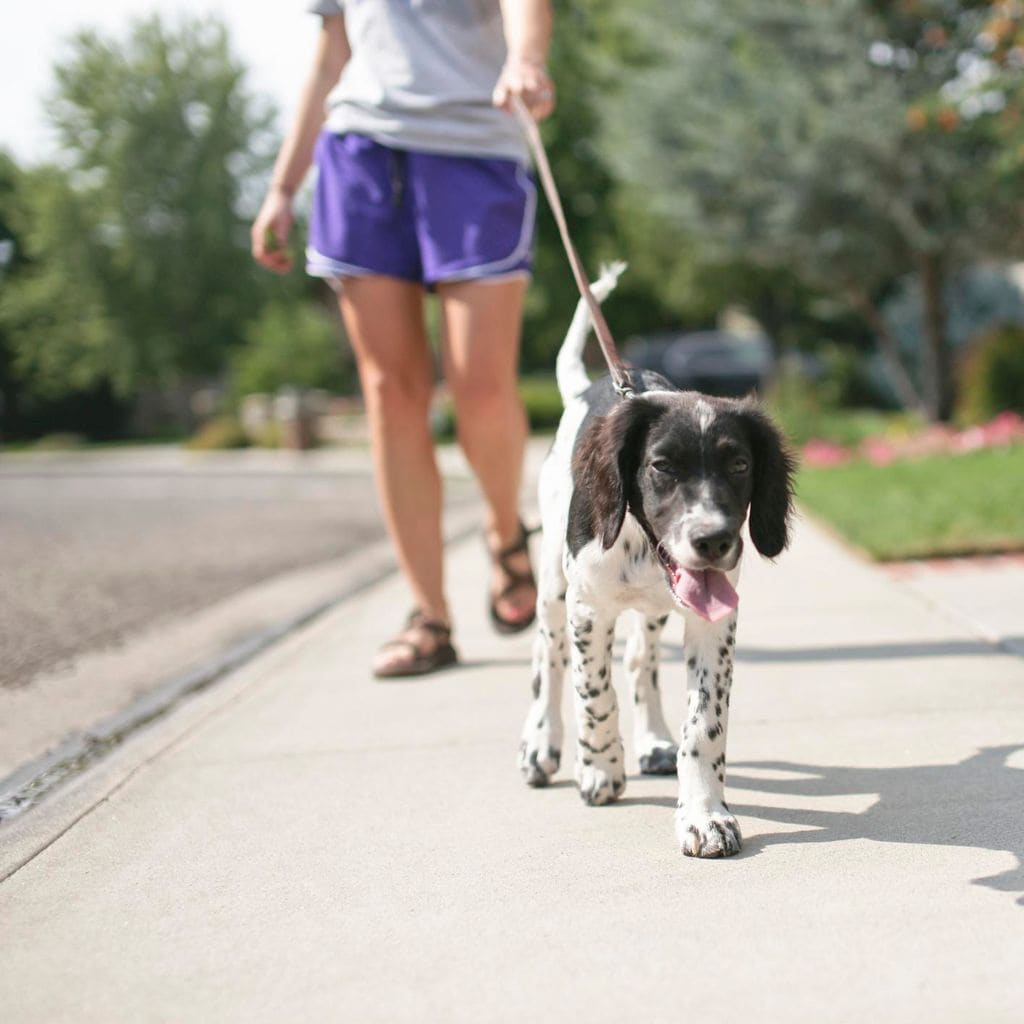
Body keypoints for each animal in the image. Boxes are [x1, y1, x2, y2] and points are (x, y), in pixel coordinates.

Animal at [516, 262, 794, 856]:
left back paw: (653, 742)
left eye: (740, 465)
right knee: (548, 658)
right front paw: (599, 769)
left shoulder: (715, 620)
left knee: (640, 662)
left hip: (654, 611)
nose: (714, 541)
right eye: (662, 466)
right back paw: (542, 745)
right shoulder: (588, 609)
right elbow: (593, 695)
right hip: (553, 586)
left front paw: (705, 814)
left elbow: (705, 724)